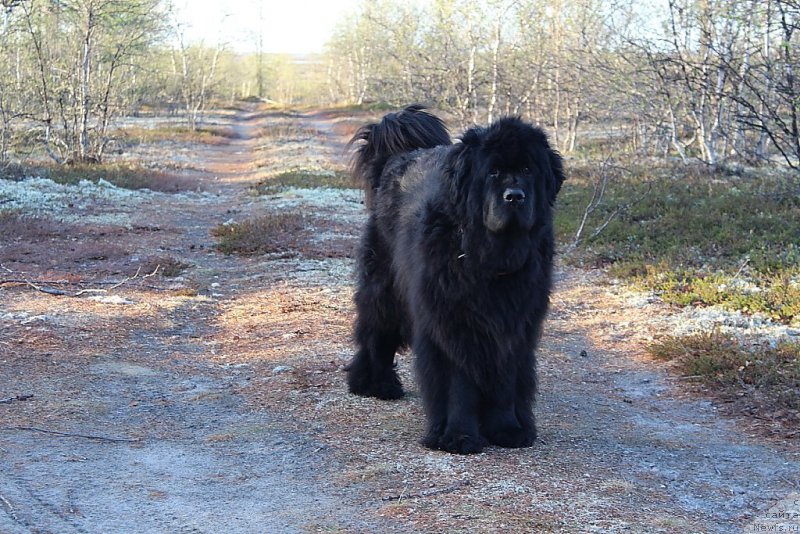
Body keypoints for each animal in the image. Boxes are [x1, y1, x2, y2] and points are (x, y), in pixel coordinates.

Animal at [346, 105, 564, 456]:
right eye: (493, 171)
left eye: (528, 169)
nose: (514, 196)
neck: (489, 259)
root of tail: (397, 157)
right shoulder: (449, 321)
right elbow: (457, 383)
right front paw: (457, 435)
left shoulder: (514, 326)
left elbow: (505, 380)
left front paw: (508, 429)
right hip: (384, 288)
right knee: (376, 334)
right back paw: (375, 384)